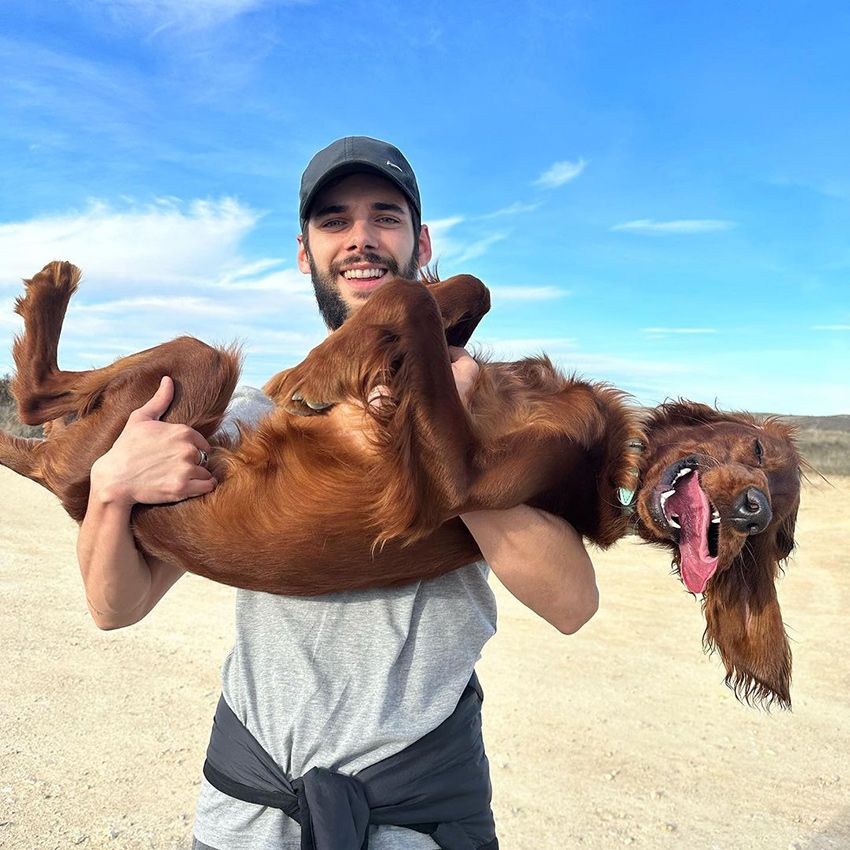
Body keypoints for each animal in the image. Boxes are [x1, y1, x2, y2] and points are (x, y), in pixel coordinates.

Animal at [0, 262, 800, 704]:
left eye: (772, 545)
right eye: (758, 447)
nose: (753, 510)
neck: (610, 464)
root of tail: (70, 484)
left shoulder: (463, 482)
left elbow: (409, 302)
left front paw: (314, 371)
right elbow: (456, 293)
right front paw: (348, 354)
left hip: (182, 382)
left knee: (39, 404)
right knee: (39, 401)